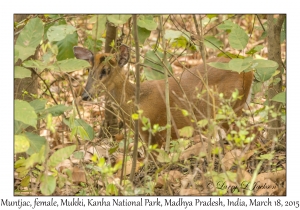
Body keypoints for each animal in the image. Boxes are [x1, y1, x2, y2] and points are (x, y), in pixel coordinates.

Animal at [73, 45, 253, 148]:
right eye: (89, 70)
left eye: (106, 71)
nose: (85, 95)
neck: (138, 102)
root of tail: (249, 71)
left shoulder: (155, 133)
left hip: (231, 107)